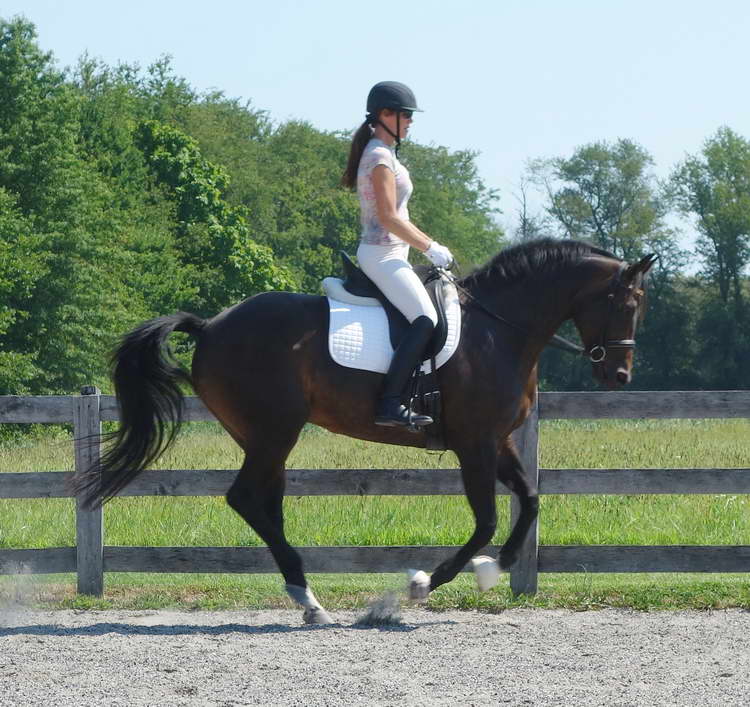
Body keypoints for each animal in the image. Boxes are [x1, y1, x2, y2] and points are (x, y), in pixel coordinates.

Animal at [73, 239, 656, 624]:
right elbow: (487, 521)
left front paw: (494, 571)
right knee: (244, 498)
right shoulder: (474, 444)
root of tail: (211, 325)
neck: (500, 330)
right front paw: (421, 586)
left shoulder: (500, 441)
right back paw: (310, 598)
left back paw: (305, 596)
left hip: (263, 437)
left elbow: (531, 501)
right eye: (628, 304)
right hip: (274, 429)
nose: (620, 376)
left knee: (264, 503)